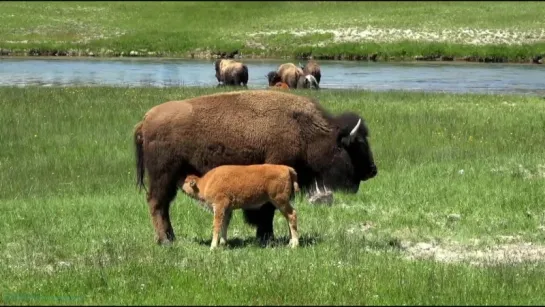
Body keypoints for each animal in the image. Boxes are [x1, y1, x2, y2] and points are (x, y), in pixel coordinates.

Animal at [134, 89, 376, 245]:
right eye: (357, 144)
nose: (373, 170)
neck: (305, 130)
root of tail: (145, 120)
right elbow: (267, 210)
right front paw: (265, 237)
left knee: (161, 205)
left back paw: (169, 238)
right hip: (163, 176)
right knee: (157, 204)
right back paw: (166, 240)